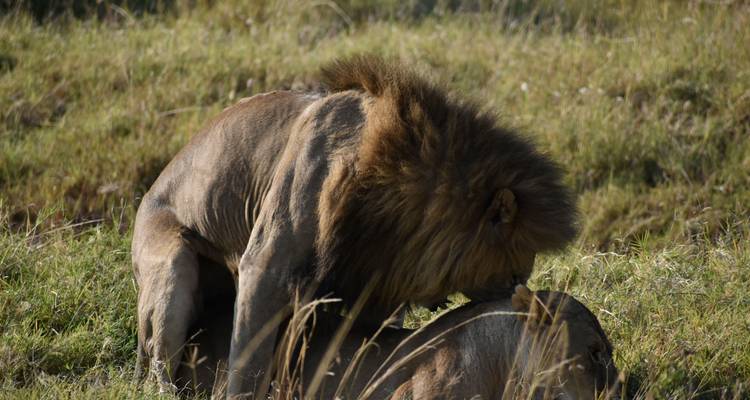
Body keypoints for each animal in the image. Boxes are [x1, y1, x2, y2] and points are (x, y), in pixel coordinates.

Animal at [132, 55, 578, 397]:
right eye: (516, 272)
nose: (522, 297)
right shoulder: (265, 266)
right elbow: (249, 357)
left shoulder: (374, 283)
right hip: (171, 265)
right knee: (157, 363)